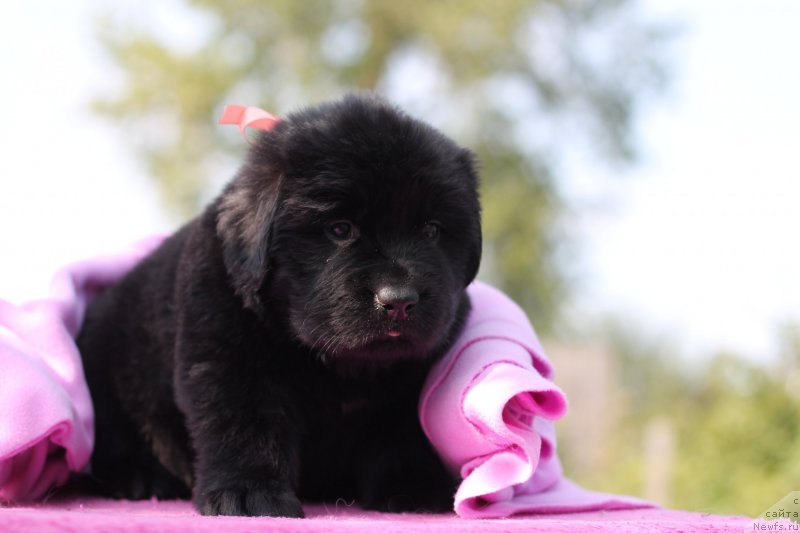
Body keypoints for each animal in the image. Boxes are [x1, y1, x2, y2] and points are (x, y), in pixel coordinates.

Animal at [75, 93, 482, 516]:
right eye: (340, 229)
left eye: (432, 231)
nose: (399, 300)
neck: (336, 365)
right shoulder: (228, 359)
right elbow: (244, 424)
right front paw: (249, 494)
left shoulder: (407, 382)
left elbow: (400, 434)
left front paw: (415, 489)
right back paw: (140, 478)